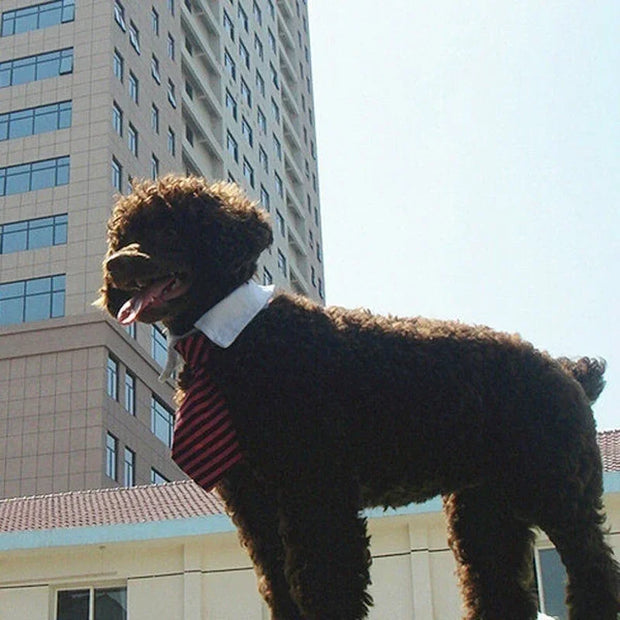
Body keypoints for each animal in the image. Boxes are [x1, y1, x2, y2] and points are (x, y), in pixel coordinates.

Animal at [94, 174, 616, 620]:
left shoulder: (315, 489)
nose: (116, 264)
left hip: (558, 491)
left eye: (171, 225)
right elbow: (281, 590)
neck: (237, 342)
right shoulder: (256, 506)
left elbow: (325, 585)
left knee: (595, 570)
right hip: (485, 509)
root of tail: (566, 369)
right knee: (500, 587)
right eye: (124, 234)